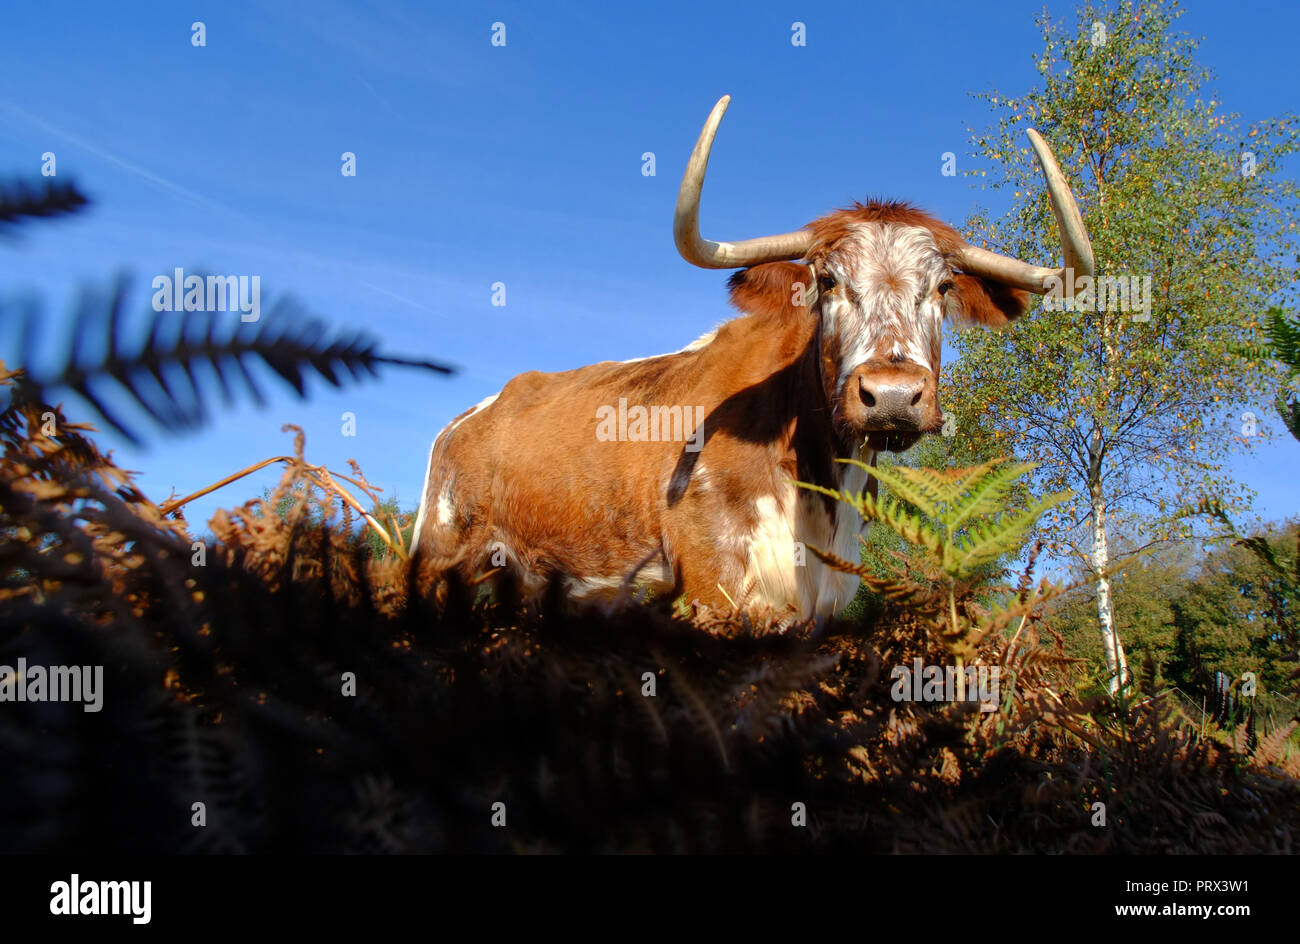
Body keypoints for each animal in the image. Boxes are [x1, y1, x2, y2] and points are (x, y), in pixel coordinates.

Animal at [410, 96, 1092, 621]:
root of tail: (471, 414)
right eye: (826, 281)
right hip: (440, 557)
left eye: (944, 287)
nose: (893, 396)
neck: (821, 493)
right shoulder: (714, 580)